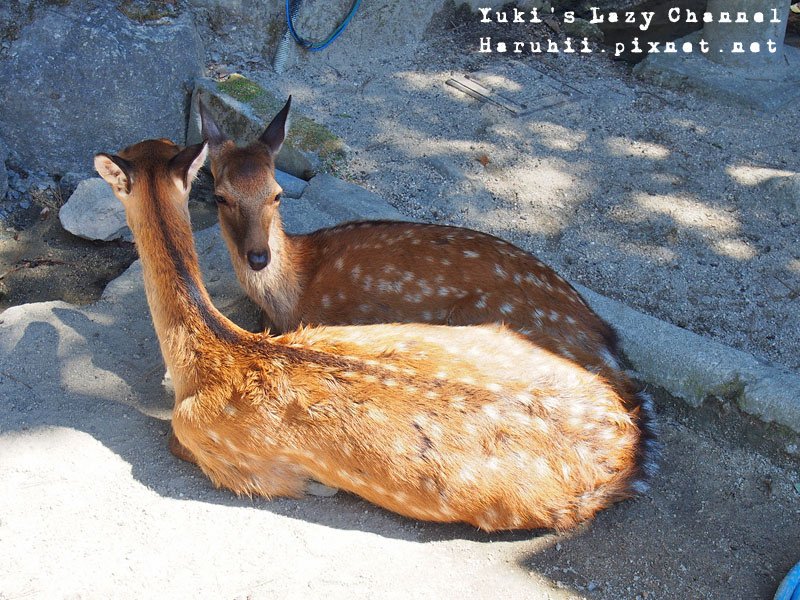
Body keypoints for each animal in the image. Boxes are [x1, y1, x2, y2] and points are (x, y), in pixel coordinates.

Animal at [95, 138, 656, 532]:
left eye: (275, 193)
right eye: (220, 194)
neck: (216, 352)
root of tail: (631, 437)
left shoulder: (230, 458)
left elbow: (179, 442)